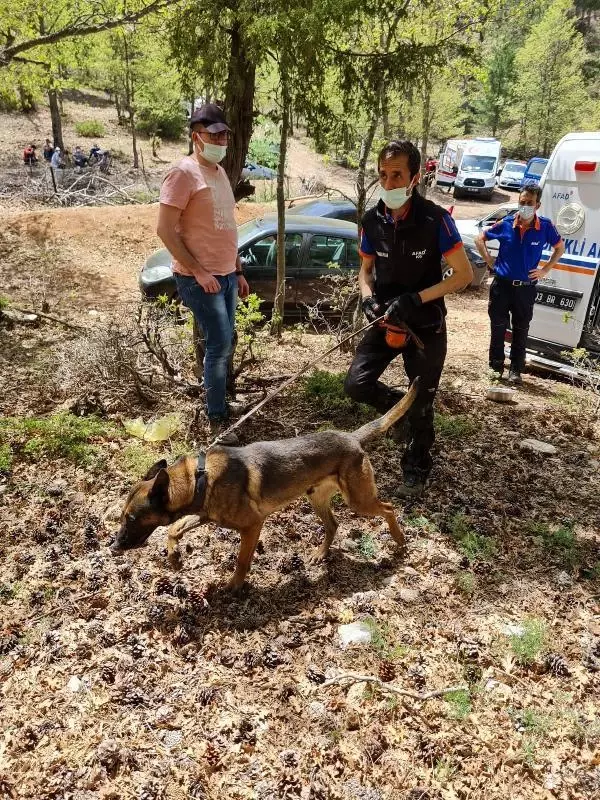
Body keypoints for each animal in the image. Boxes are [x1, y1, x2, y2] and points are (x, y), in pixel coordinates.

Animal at [112, 382, 418, 588]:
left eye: (132, 518)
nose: (113, 546)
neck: (199, 478)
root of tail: (352, 438)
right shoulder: (204, 514)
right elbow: (174, 528)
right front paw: (174, 556)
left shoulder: (253, 525)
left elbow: (241, 560)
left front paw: (234, 586)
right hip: (317, 498)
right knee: (333, 524)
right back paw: (321, 554)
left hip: (358, 499)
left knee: (389, 508)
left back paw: (400, 540)